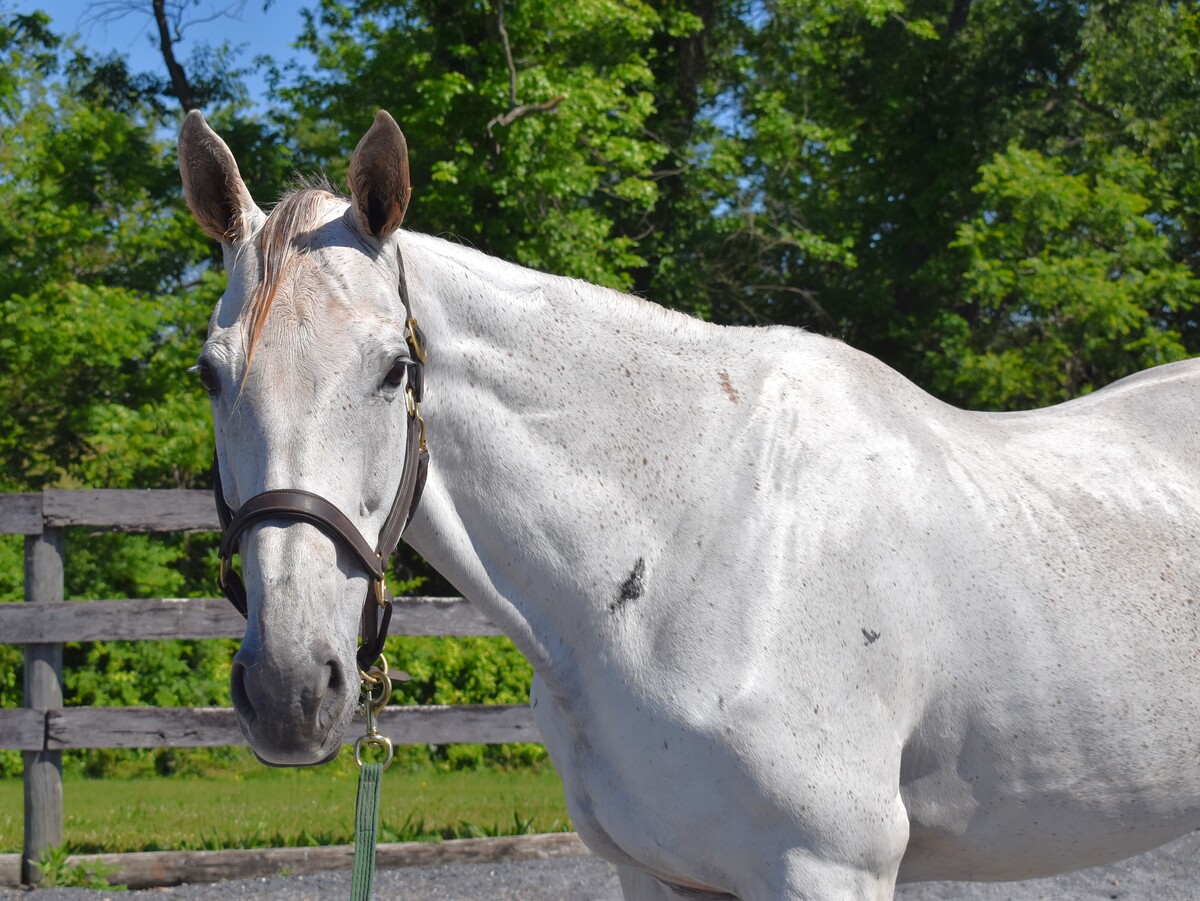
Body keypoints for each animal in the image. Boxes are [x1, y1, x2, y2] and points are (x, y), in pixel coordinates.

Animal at [177, 109, 1200, 900]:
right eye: (209, 374)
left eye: (394, 369)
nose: (289, 690)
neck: (685, 547)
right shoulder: (656, 870)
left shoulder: (829, 866)